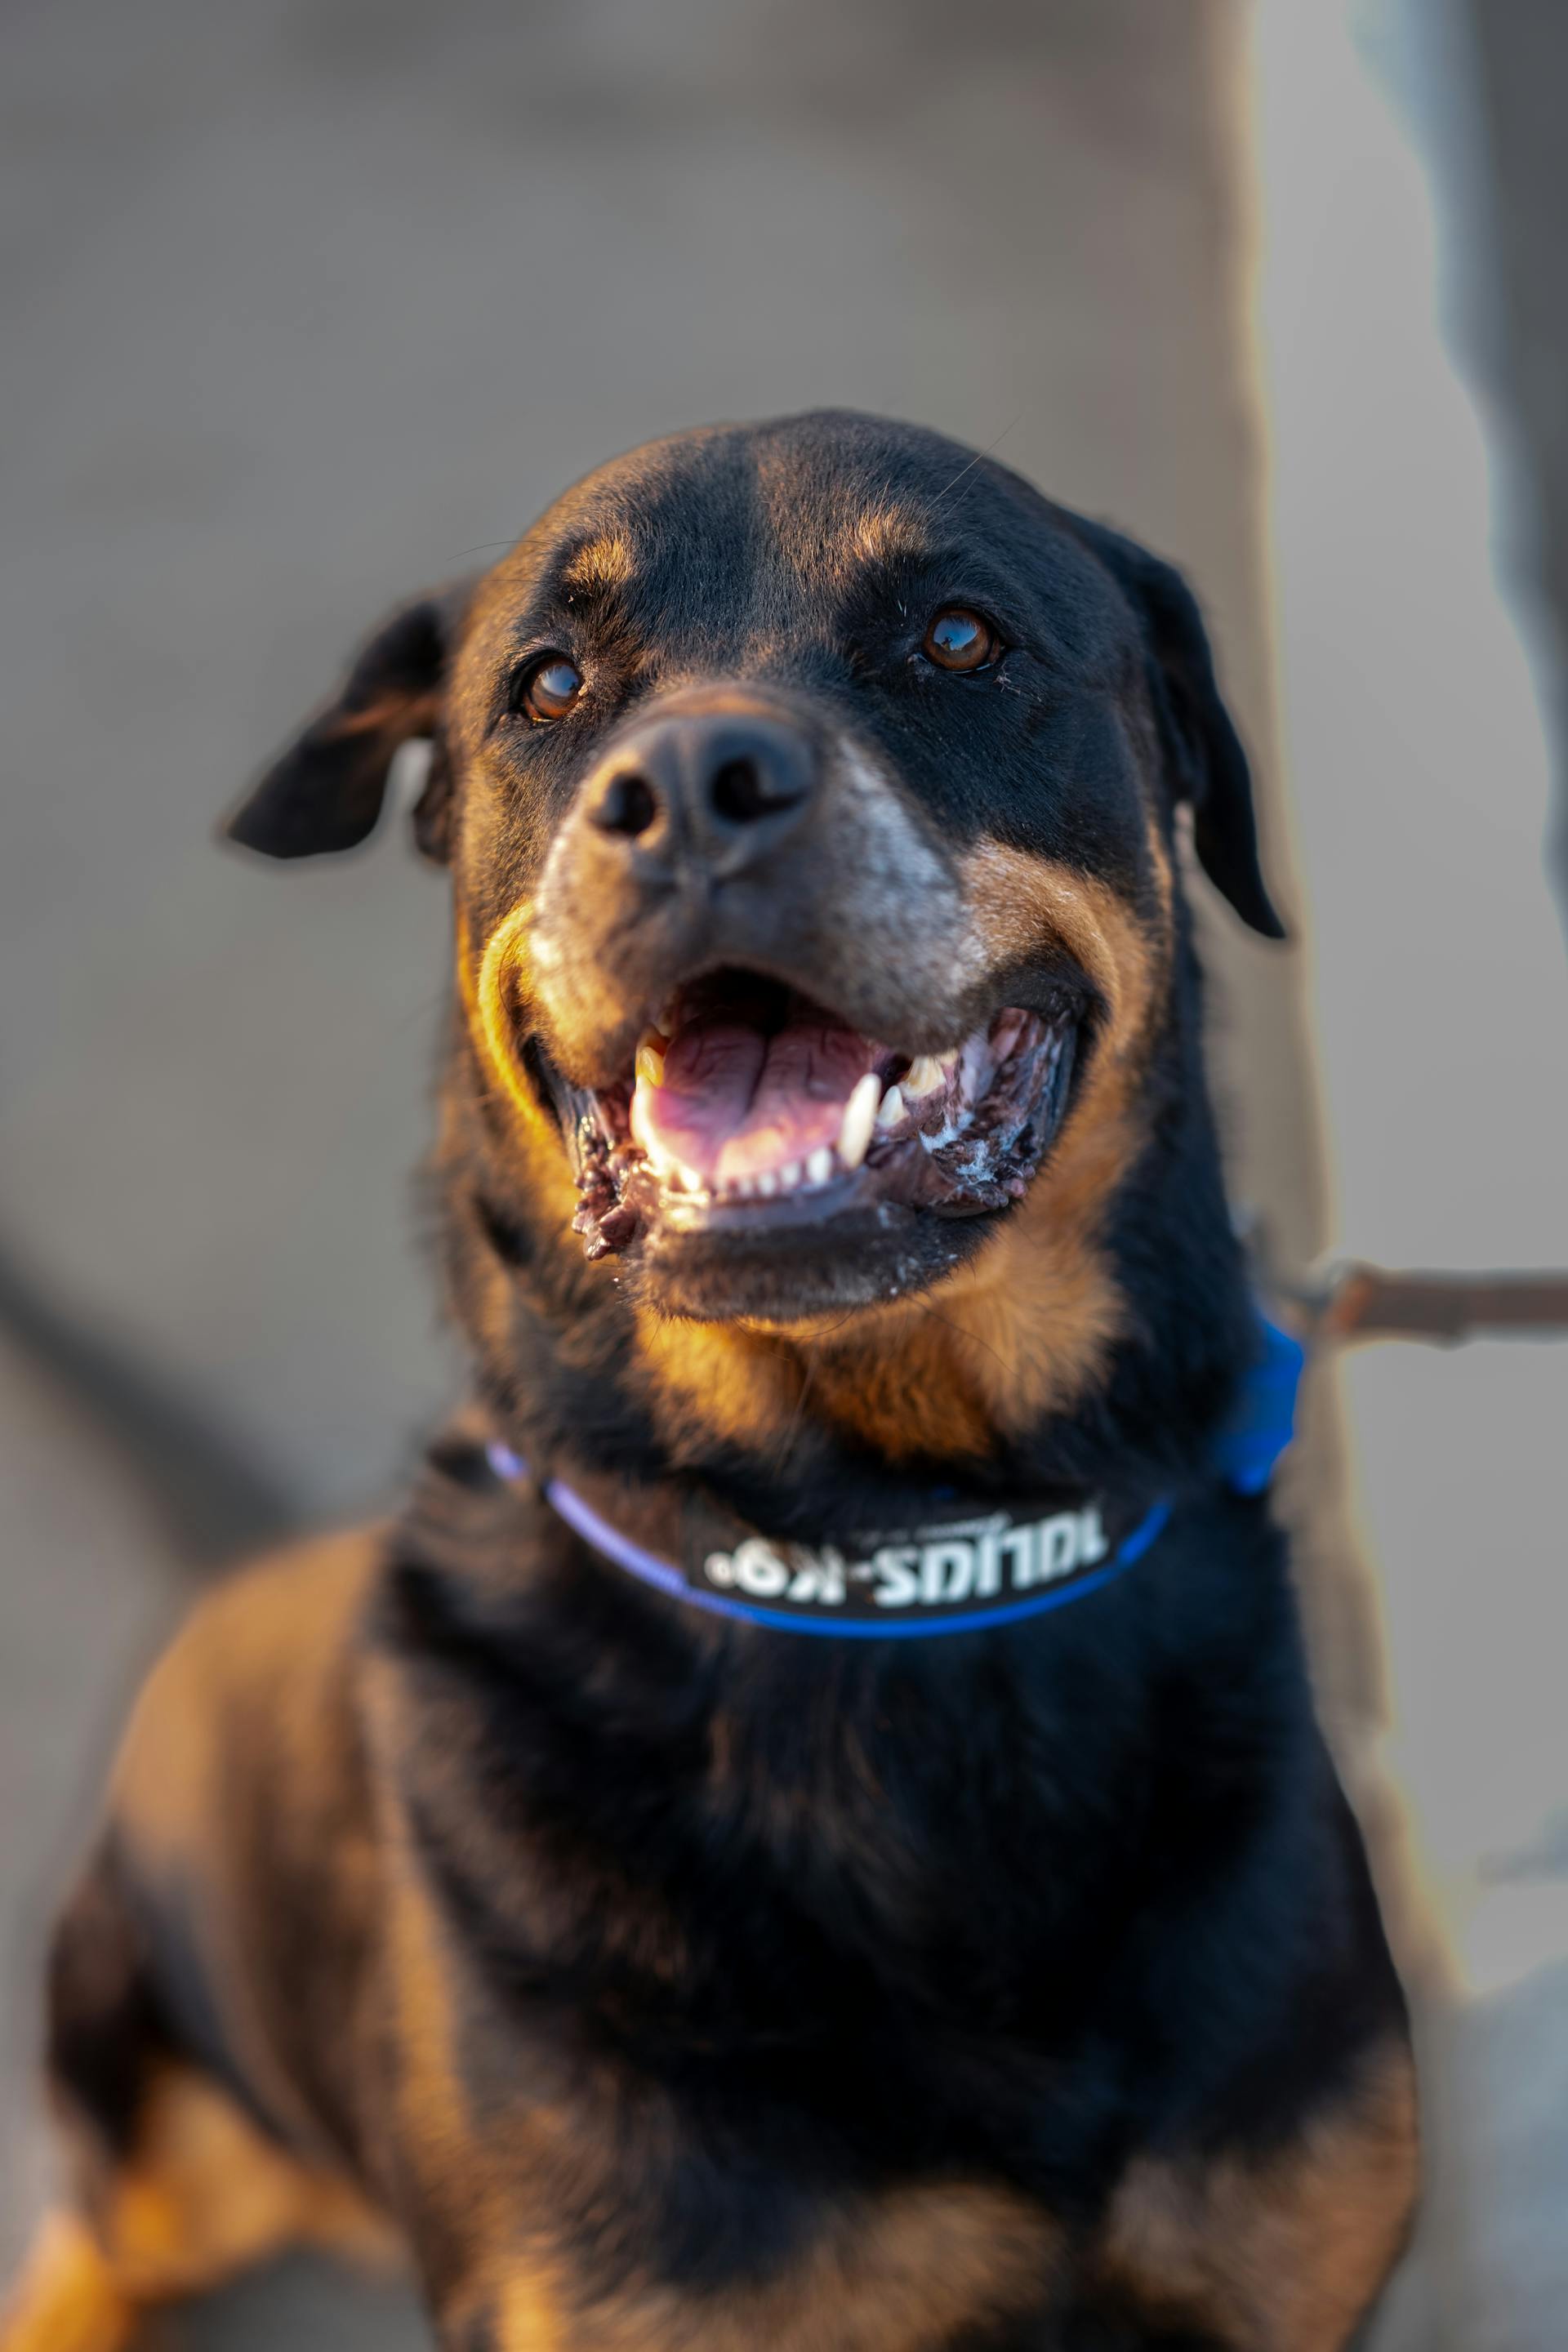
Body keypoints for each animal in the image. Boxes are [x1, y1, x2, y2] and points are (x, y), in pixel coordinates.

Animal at [2, 413, 1419, 2342]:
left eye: (962, 638)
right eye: (548, 684)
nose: (688, 785)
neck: (879, 1547)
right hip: (158, 2086)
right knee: (92, 2223)